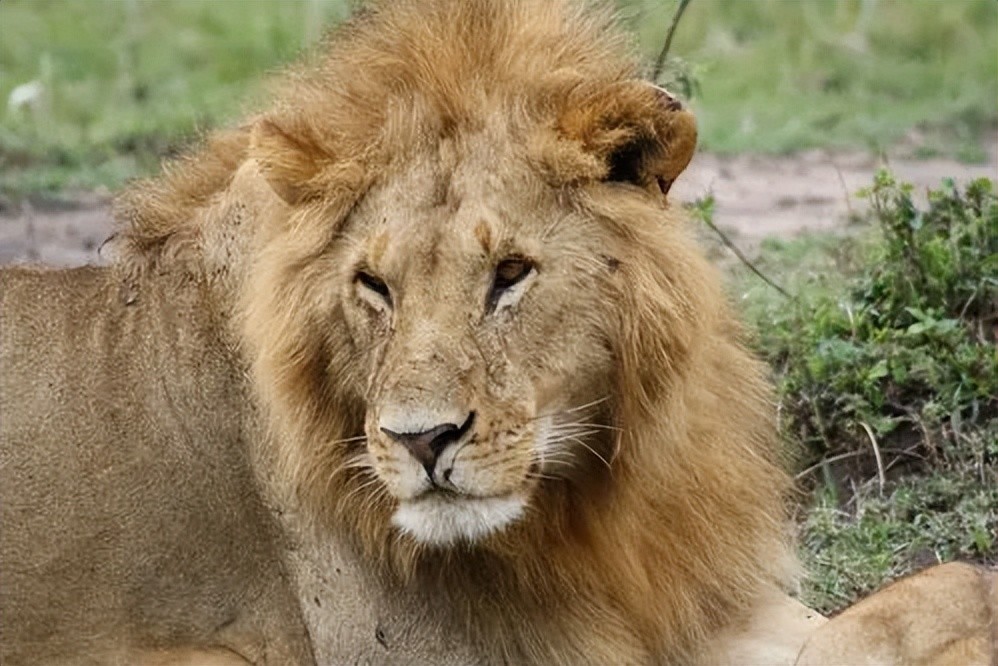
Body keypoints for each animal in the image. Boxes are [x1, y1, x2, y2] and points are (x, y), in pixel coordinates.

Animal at [0, 1, 996, 664]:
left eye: (510, 274)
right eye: (374, 285)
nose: (422, 440)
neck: (589, 498)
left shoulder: (702, 600)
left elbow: (948, 581)